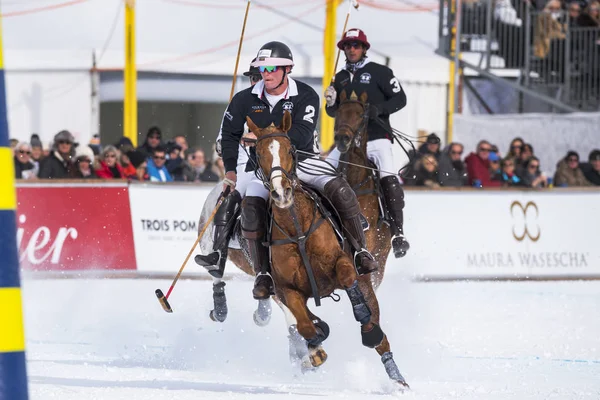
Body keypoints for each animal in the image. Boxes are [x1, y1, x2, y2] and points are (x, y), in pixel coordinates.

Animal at [246, 111, 410, 388]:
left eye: (290, 149)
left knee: (380, 336)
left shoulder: (341, 262)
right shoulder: (287, 289)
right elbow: (304, 324)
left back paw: (397, 378)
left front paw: (365, 325)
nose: (281, 193)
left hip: (368, 278)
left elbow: (347, 278)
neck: (297, 227)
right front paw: (315, 342)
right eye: (257, 153)